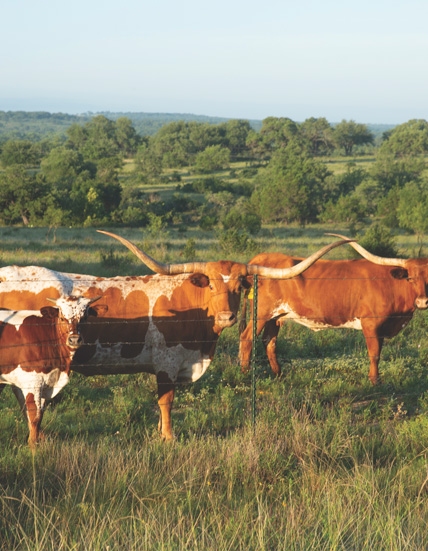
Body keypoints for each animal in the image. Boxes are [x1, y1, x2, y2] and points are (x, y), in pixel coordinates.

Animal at [0, 296, 103, 446]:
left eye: (84, 317)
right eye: (62, 318)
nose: (74, 340)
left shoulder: (45, 381)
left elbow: (39, 415)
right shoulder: (32, 381)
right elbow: (34, 416)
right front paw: (33, 446)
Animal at [239, 235, 428, 386]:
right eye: (410, 278)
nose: (422, 301)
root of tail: (260, 258)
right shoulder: (371, 324)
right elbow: (374, 354)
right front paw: (375, 382)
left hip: (275, 316)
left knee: (269, 341)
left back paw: (279, 375)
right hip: (261, 314)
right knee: (247, 338)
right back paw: (245, 375)